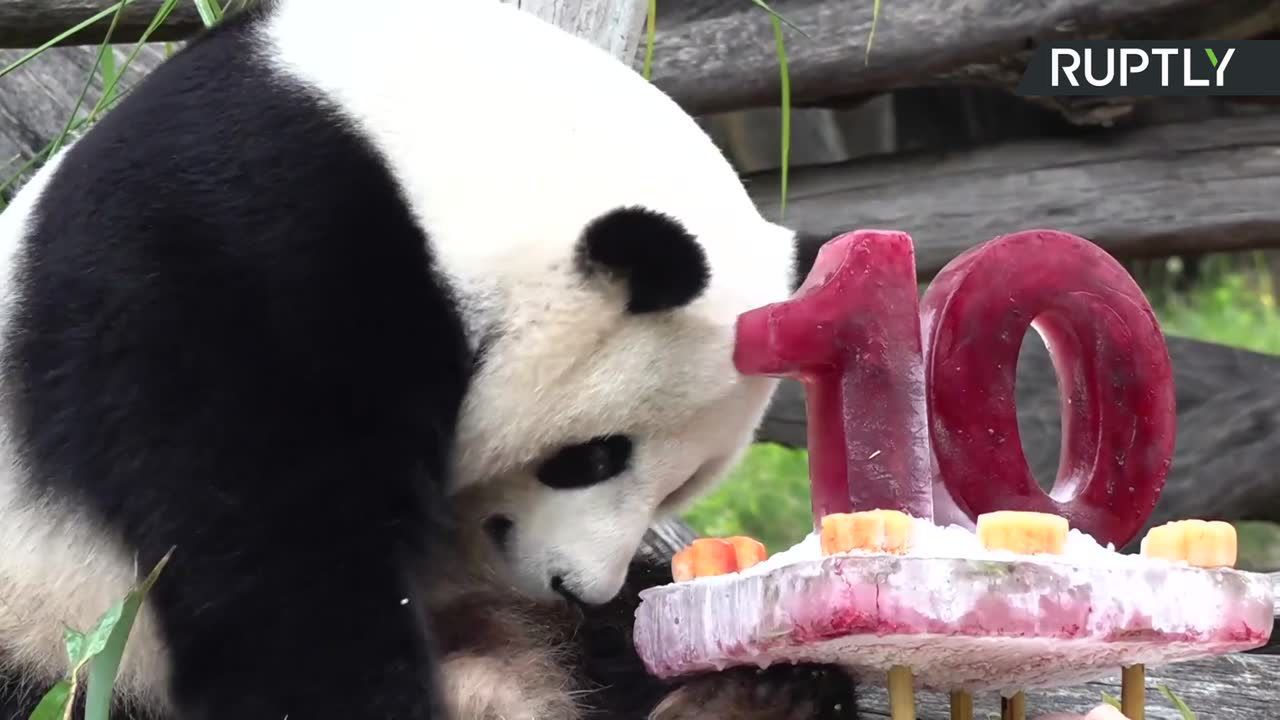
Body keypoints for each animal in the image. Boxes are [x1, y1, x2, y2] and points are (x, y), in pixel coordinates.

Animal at [0, 0, 829, 712]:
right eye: (594, 456)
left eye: (680, 488)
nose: (580, 586)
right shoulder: (225, 265)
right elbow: (274, 564)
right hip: (52, 628)